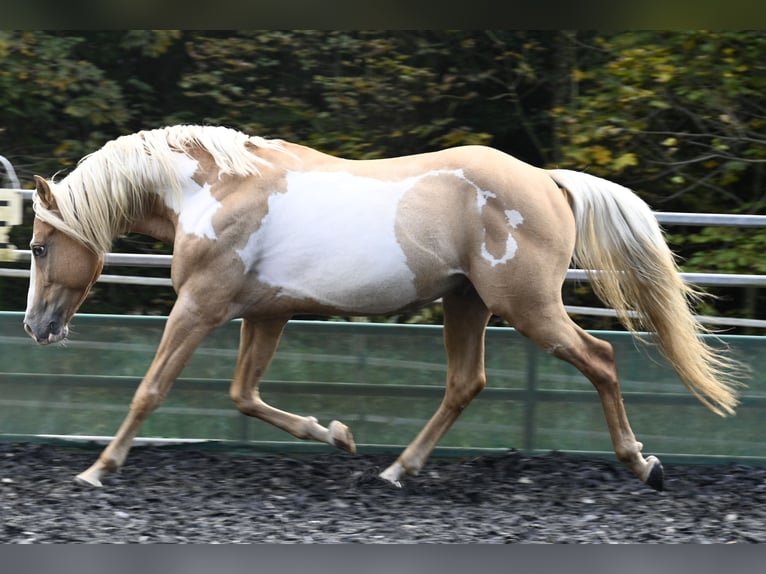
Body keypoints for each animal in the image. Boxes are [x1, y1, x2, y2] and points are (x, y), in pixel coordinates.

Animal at [22, 125, 744, 490]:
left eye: (36, 246)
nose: (35, 327)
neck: (215, 190)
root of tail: (548, 180)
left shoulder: (200, 306)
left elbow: (151, 389)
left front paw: (97, 470)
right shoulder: (266, 313)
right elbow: (244, 396)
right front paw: (337, 435)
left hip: (527, 306)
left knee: (601, 358)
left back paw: (643, 464)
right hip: (467, 304)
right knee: (464, 383)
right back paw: (399, 468)